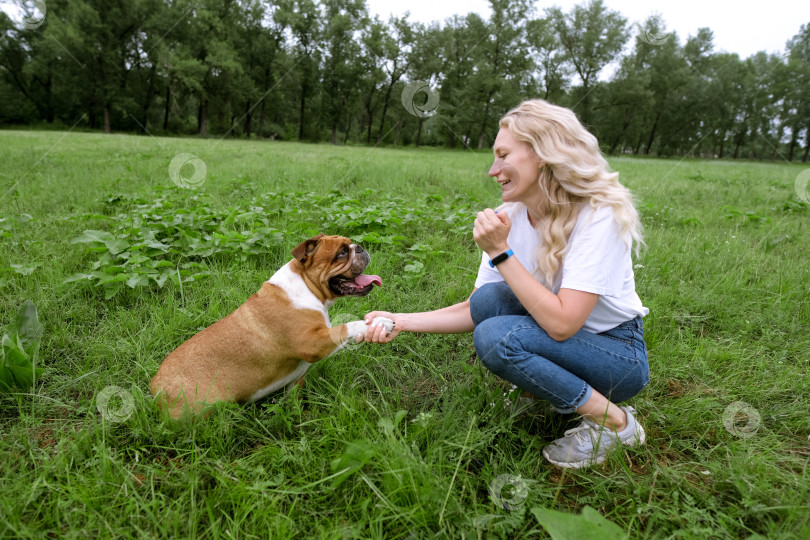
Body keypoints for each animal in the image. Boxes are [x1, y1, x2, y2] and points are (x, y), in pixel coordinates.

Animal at [152, 234, 394, 420]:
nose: (360, 248)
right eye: (342, 253)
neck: (306, 287)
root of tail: (155, 387)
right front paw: (379, 322)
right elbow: (345, 327)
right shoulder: (311, 342)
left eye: (351, 245)